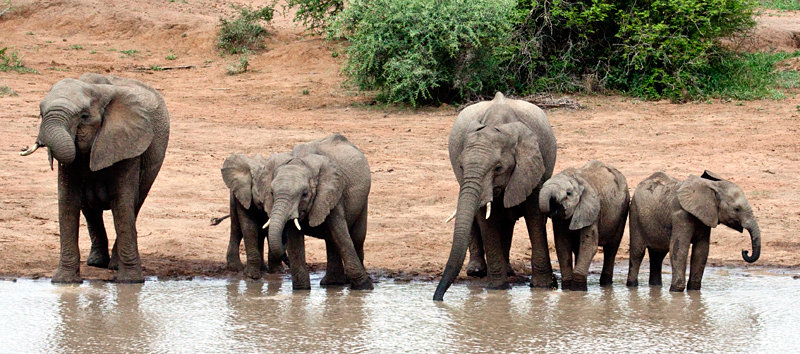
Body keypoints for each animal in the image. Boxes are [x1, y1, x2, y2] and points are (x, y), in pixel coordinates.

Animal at [20, 73, 170, 284]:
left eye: (84, 117)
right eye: (41, 114)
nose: (25, 146)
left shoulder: (127, 144)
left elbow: (122, 203)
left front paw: (129, 282)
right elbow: (68, 202)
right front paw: (63, 282)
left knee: (135, 203)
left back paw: (113, 265)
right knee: (89, 209)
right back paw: (96, 262)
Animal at [220, 134, 374, 290]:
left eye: (305, 194)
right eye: (271, 192)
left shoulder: (331, 194)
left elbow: (340, 235)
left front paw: (365, 287)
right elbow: (293, 241)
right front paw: (301, 290)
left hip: (362, 200)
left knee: (356, 237)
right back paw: (332, 284)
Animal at [434, 92, 560, 302]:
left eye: (498, 168)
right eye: (461, 166)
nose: (438, 299)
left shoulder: (532, 165)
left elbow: (534, 216)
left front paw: (543, 287)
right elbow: (486, 220)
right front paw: (497, 288)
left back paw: (507, 271)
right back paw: (476, 271)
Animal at [536, 160, 632, 290]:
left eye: (568, 193)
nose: (553, 207)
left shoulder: (592, 211)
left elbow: (589, 245)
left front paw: (577, 289)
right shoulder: (560, 220)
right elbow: (562, 244)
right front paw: (567, 288)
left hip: (623, 209)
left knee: (611, 248)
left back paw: (606, 284)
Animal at [624, 170, 764, 292]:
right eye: (737, 209)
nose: (745, 251)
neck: (712, 187)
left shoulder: (705, 219)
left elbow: (701, 251)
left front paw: (694, 290)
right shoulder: (680, 216)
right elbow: (679, 249)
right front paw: (676, 291)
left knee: (657, 256)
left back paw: (656, 286)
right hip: (635, 214)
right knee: (638, 252)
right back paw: (632, 286)